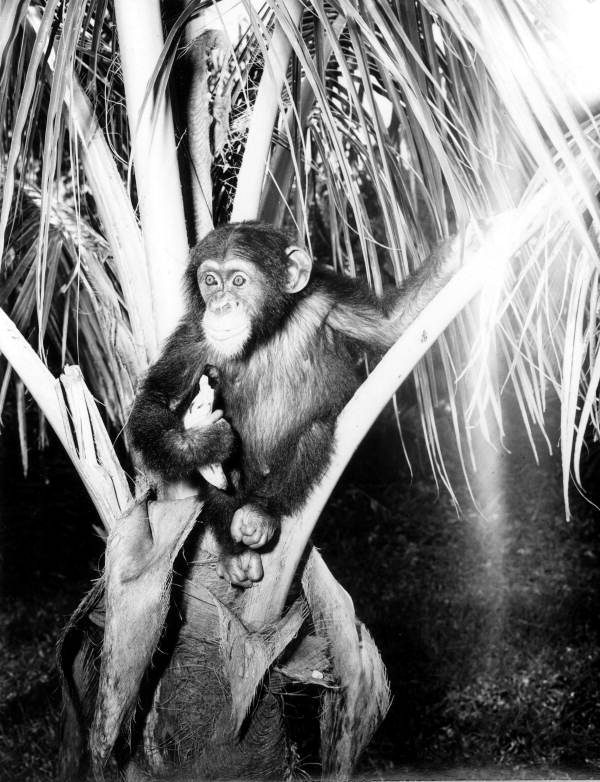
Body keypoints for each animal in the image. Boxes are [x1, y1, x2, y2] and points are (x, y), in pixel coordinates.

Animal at [128, 221, 464, 586]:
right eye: (211, 281)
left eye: (239, 281)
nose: (220, 305)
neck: (266, 331)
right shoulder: (194, 336)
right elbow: (159, 397)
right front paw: (199, 441)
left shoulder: (328, 299)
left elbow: (392, 323)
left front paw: (467, 240)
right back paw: (234, 549)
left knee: (313, 433)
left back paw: (260, 512)